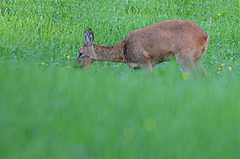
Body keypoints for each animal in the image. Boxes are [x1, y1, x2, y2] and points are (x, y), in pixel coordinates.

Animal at [74, 19, 208, 73]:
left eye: (80, 53)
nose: (75, 67)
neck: (123, 52)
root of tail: (206, 36)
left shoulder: (144, 59)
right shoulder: (151, 64)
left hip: (184, 55)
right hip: (197, 58)